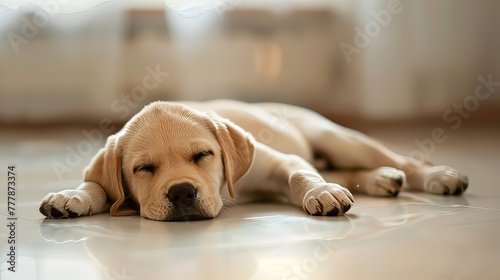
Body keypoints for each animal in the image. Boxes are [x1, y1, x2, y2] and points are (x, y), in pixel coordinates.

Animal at [39, 100, 468, 221]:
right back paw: (381, 179)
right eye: (142, 169)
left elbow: (300, 175)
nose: (181, 193)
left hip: (337, 138)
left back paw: (437, 175)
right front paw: (72, 197)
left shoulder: (280, 162)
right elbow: (96, 183)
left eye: (204, 155)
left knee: (405, 159)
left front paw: (320, 194)